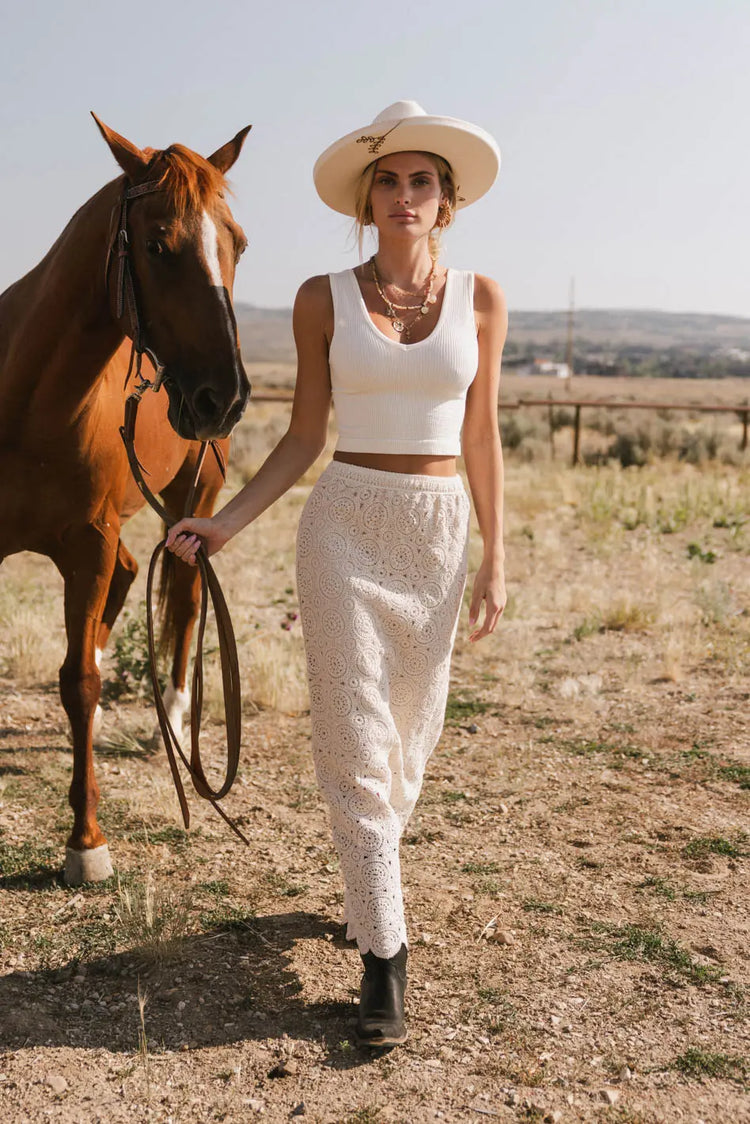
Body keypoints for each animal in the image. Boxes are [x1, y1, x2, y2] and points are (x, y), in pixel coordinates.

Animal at [0, 116, 251, 885]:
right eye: (157, 246)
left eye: (238, 243)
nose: (225, 397)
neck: (26, 401)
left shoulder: (89, 542)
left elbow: (78, 682)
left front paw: (86, 842)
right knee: (139, 576)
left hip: (193, 496)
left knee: (187, 595)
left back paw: (171, 707)